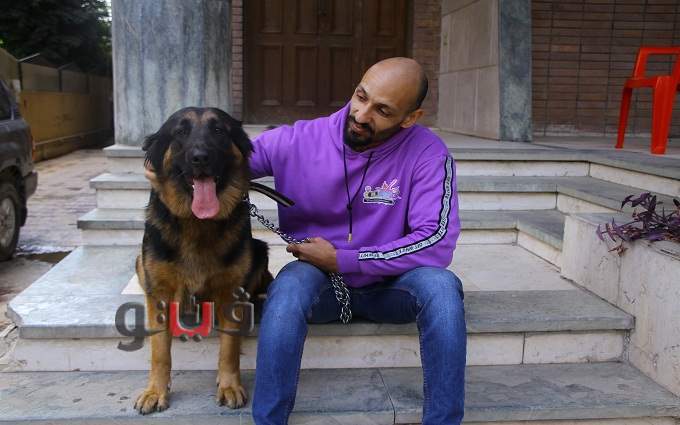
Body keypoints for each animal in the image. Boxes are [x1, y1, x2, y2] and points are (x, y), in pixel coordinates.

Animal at [133, 107, 273, 414]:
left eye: (219, 130)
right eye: (180, 132)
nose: (200, 157)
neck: (198, 223)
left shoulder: (231, 292)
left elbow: (229, 346)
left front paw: (229, 385)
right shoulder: (159, 293)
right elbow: (159, 350)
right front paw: (155, 390)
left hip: (259, 249)